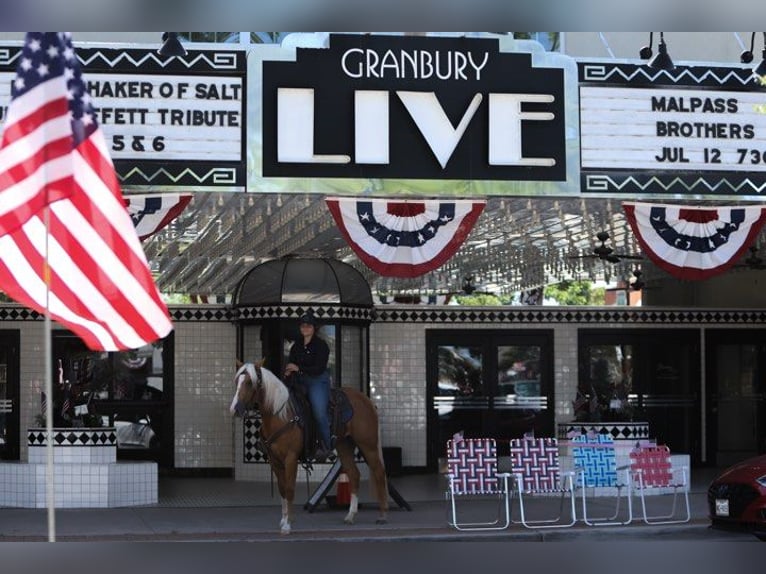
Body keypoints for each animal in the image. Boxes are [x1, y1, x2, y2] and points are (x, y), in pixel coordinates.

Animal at [230, 364, 390, 536]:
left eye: (249, 383)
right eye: (237, 382)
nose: (235, 409)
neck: (280, 415)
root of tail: (366, 400)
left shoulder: (291, 458)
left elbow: (289, 488)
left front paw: (287, 525)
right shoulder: (274, 460)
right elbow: (282, 489)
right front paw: (284, 520)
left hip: (368, 445)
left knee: (379, 472)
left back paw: (383, 515)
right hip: (344, 446)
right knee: (354, 474)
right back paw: (350, 516)